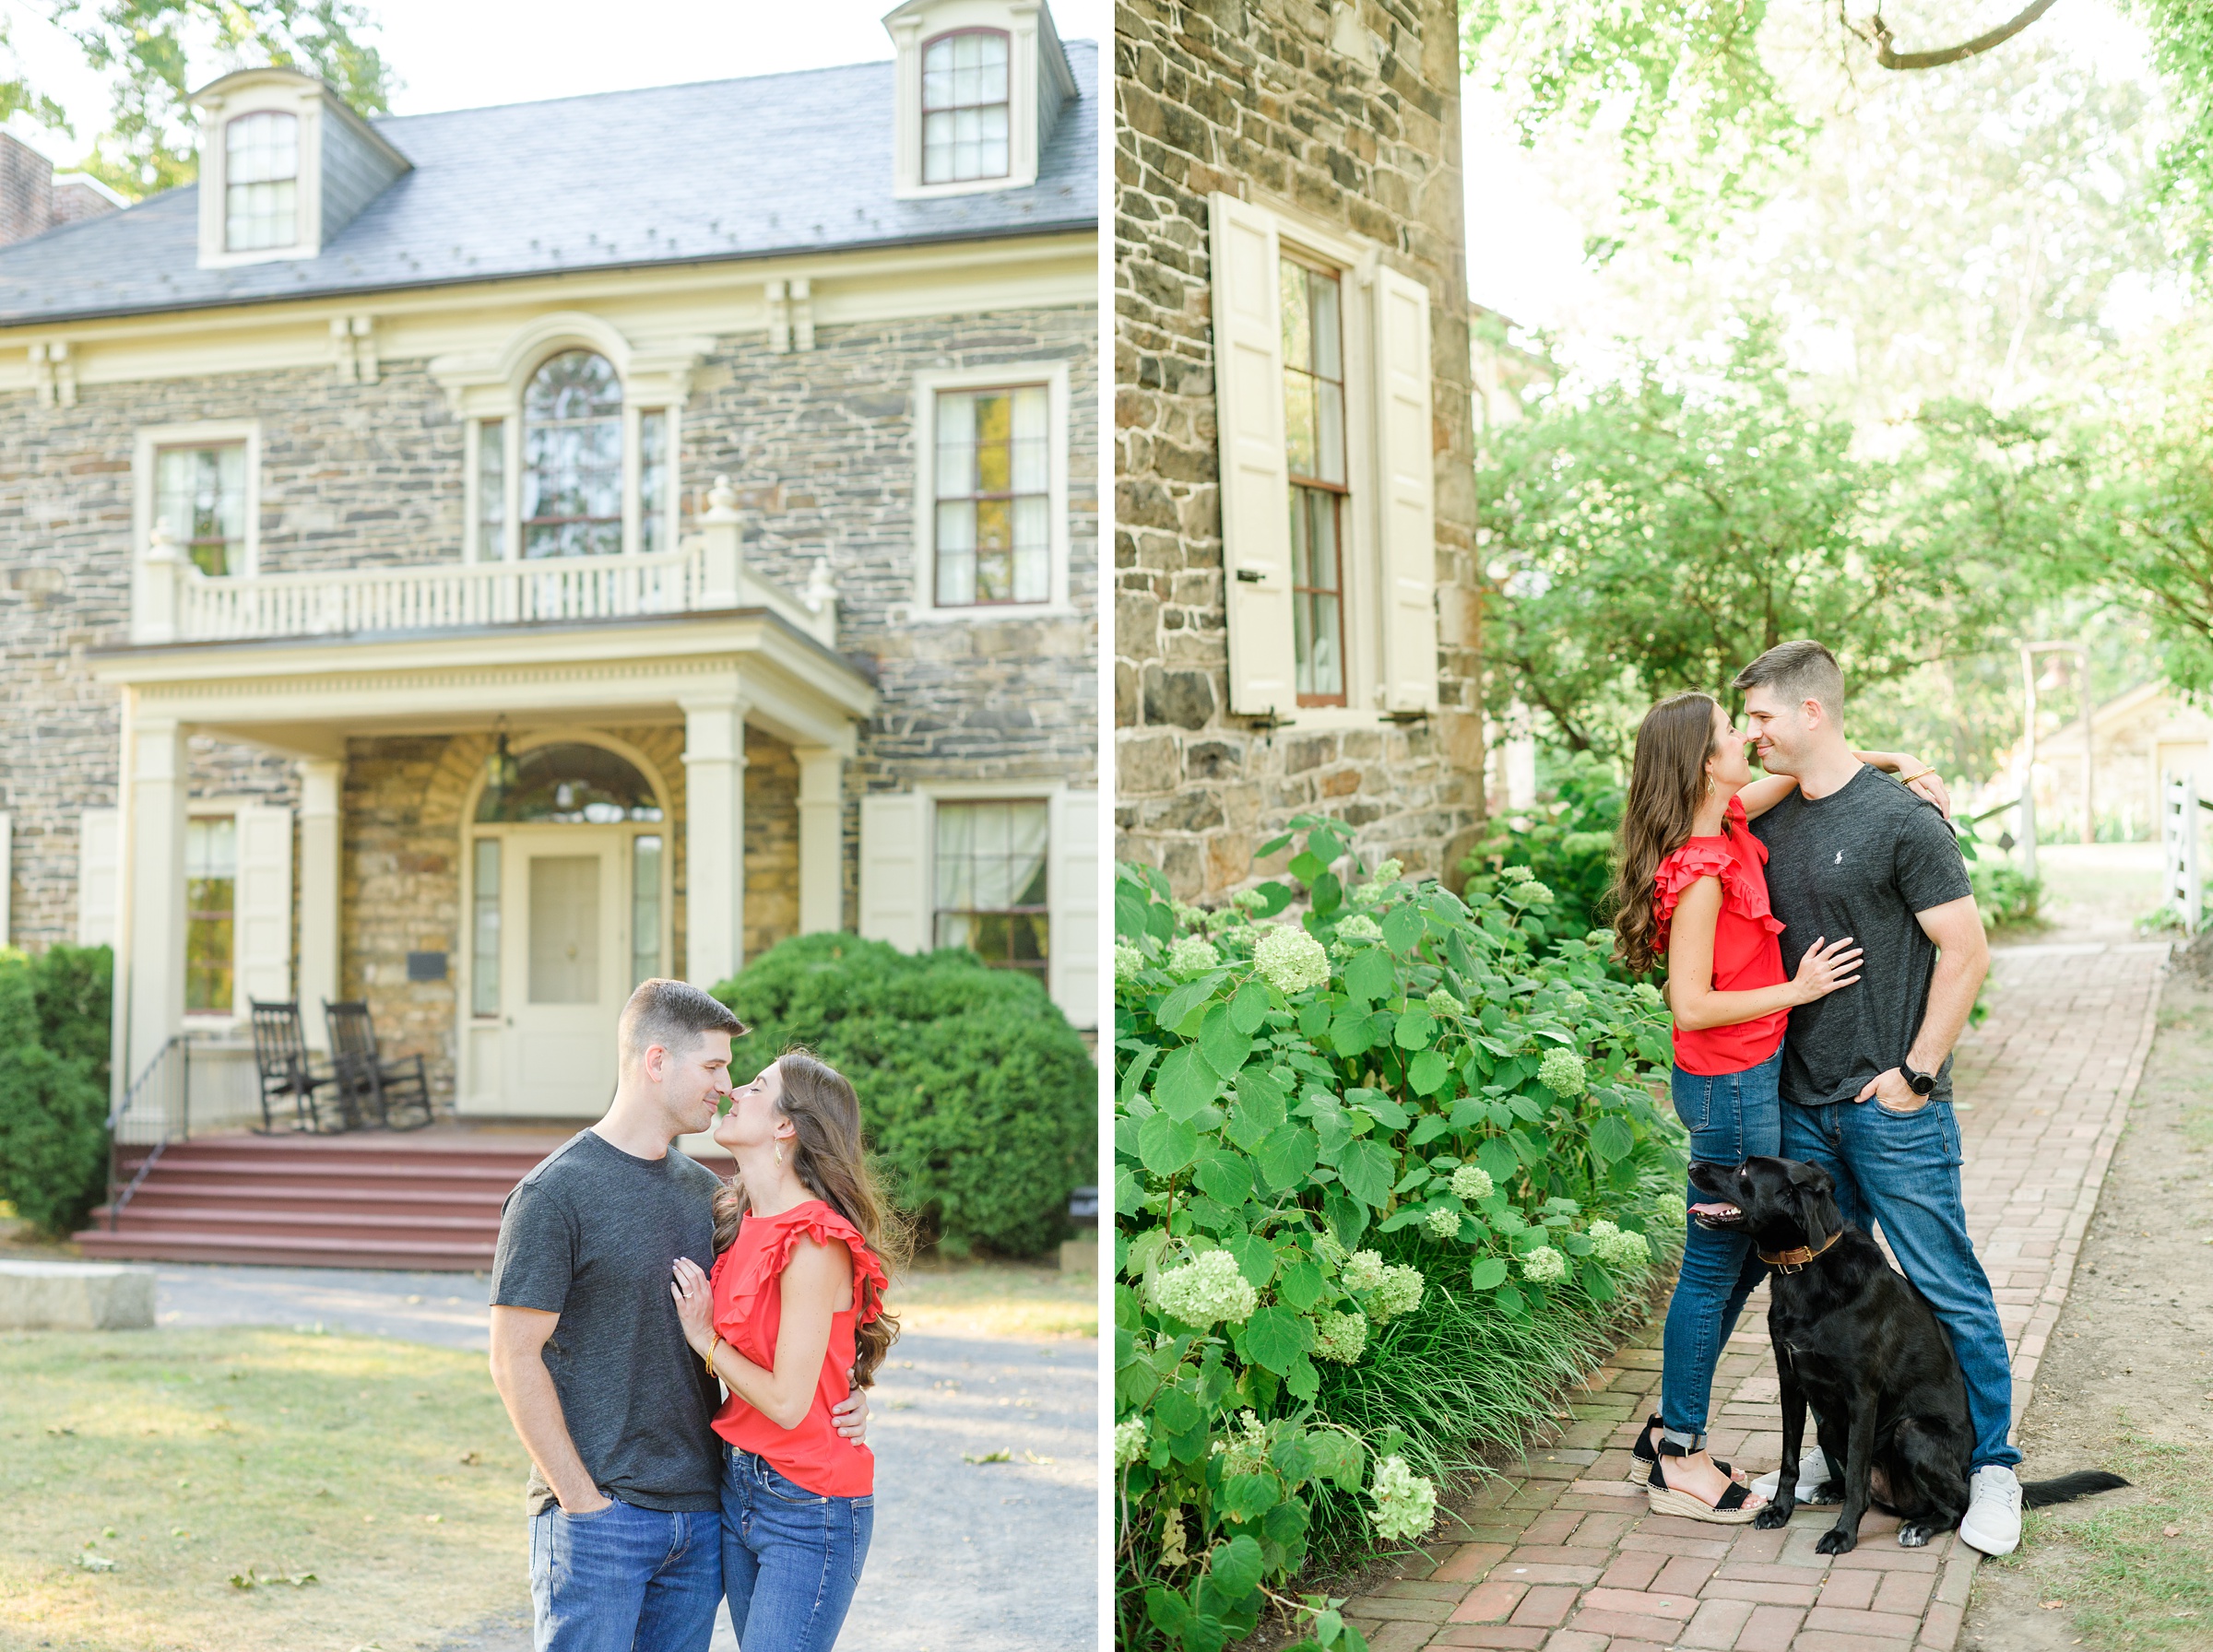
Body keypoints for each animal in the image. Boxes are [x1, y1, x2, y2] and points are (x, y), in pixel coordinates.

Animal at [1690, 1159, 2124, 1556]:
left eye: (1745, 1171)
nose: (1693, 1164)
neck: (1806, 1269)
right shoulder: (1790, 1382)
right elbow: (1789, 1462)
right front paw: (1780, 1511)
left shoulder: (1862, 1395)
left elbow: (1856, 1480)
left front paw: (1843, 1535)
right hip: (1830, 1427)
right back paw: (1831, 1488)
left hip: (1911, 1432)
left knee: (1955, 1506)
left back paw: (1920, 1526)